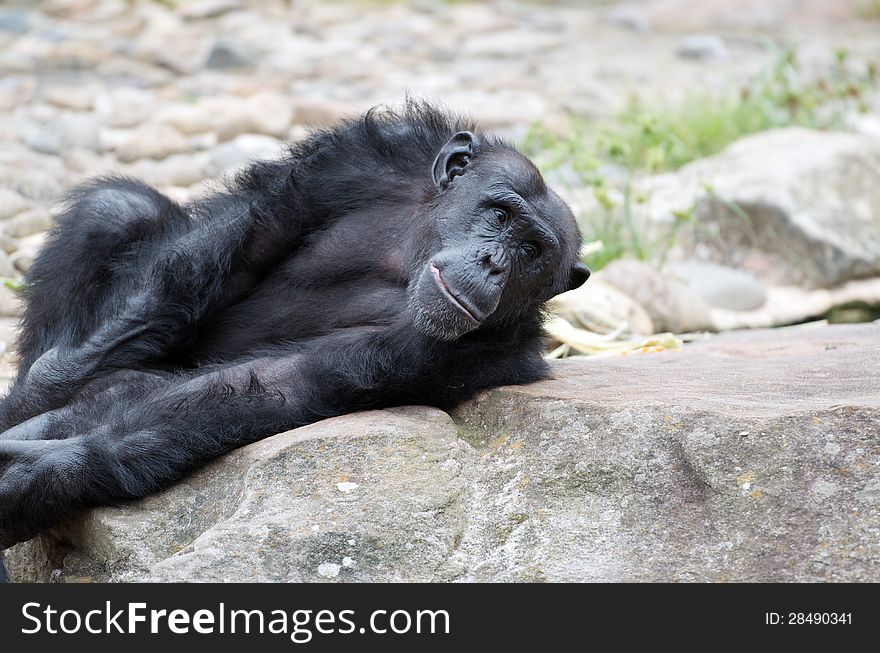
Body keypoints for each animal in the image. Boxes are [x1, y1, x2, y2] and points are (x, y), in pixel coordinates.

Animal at [0, 102, 592, 560]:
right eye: (501, 215)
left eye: (532, 252)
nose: (494, 264)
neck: (414, 249)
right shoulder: (367, 157)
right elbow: (240, 239)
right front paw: (42, 394)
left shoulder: (468, 350)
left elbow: (276, 383)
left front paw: (48, 471)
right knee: (116, 208)